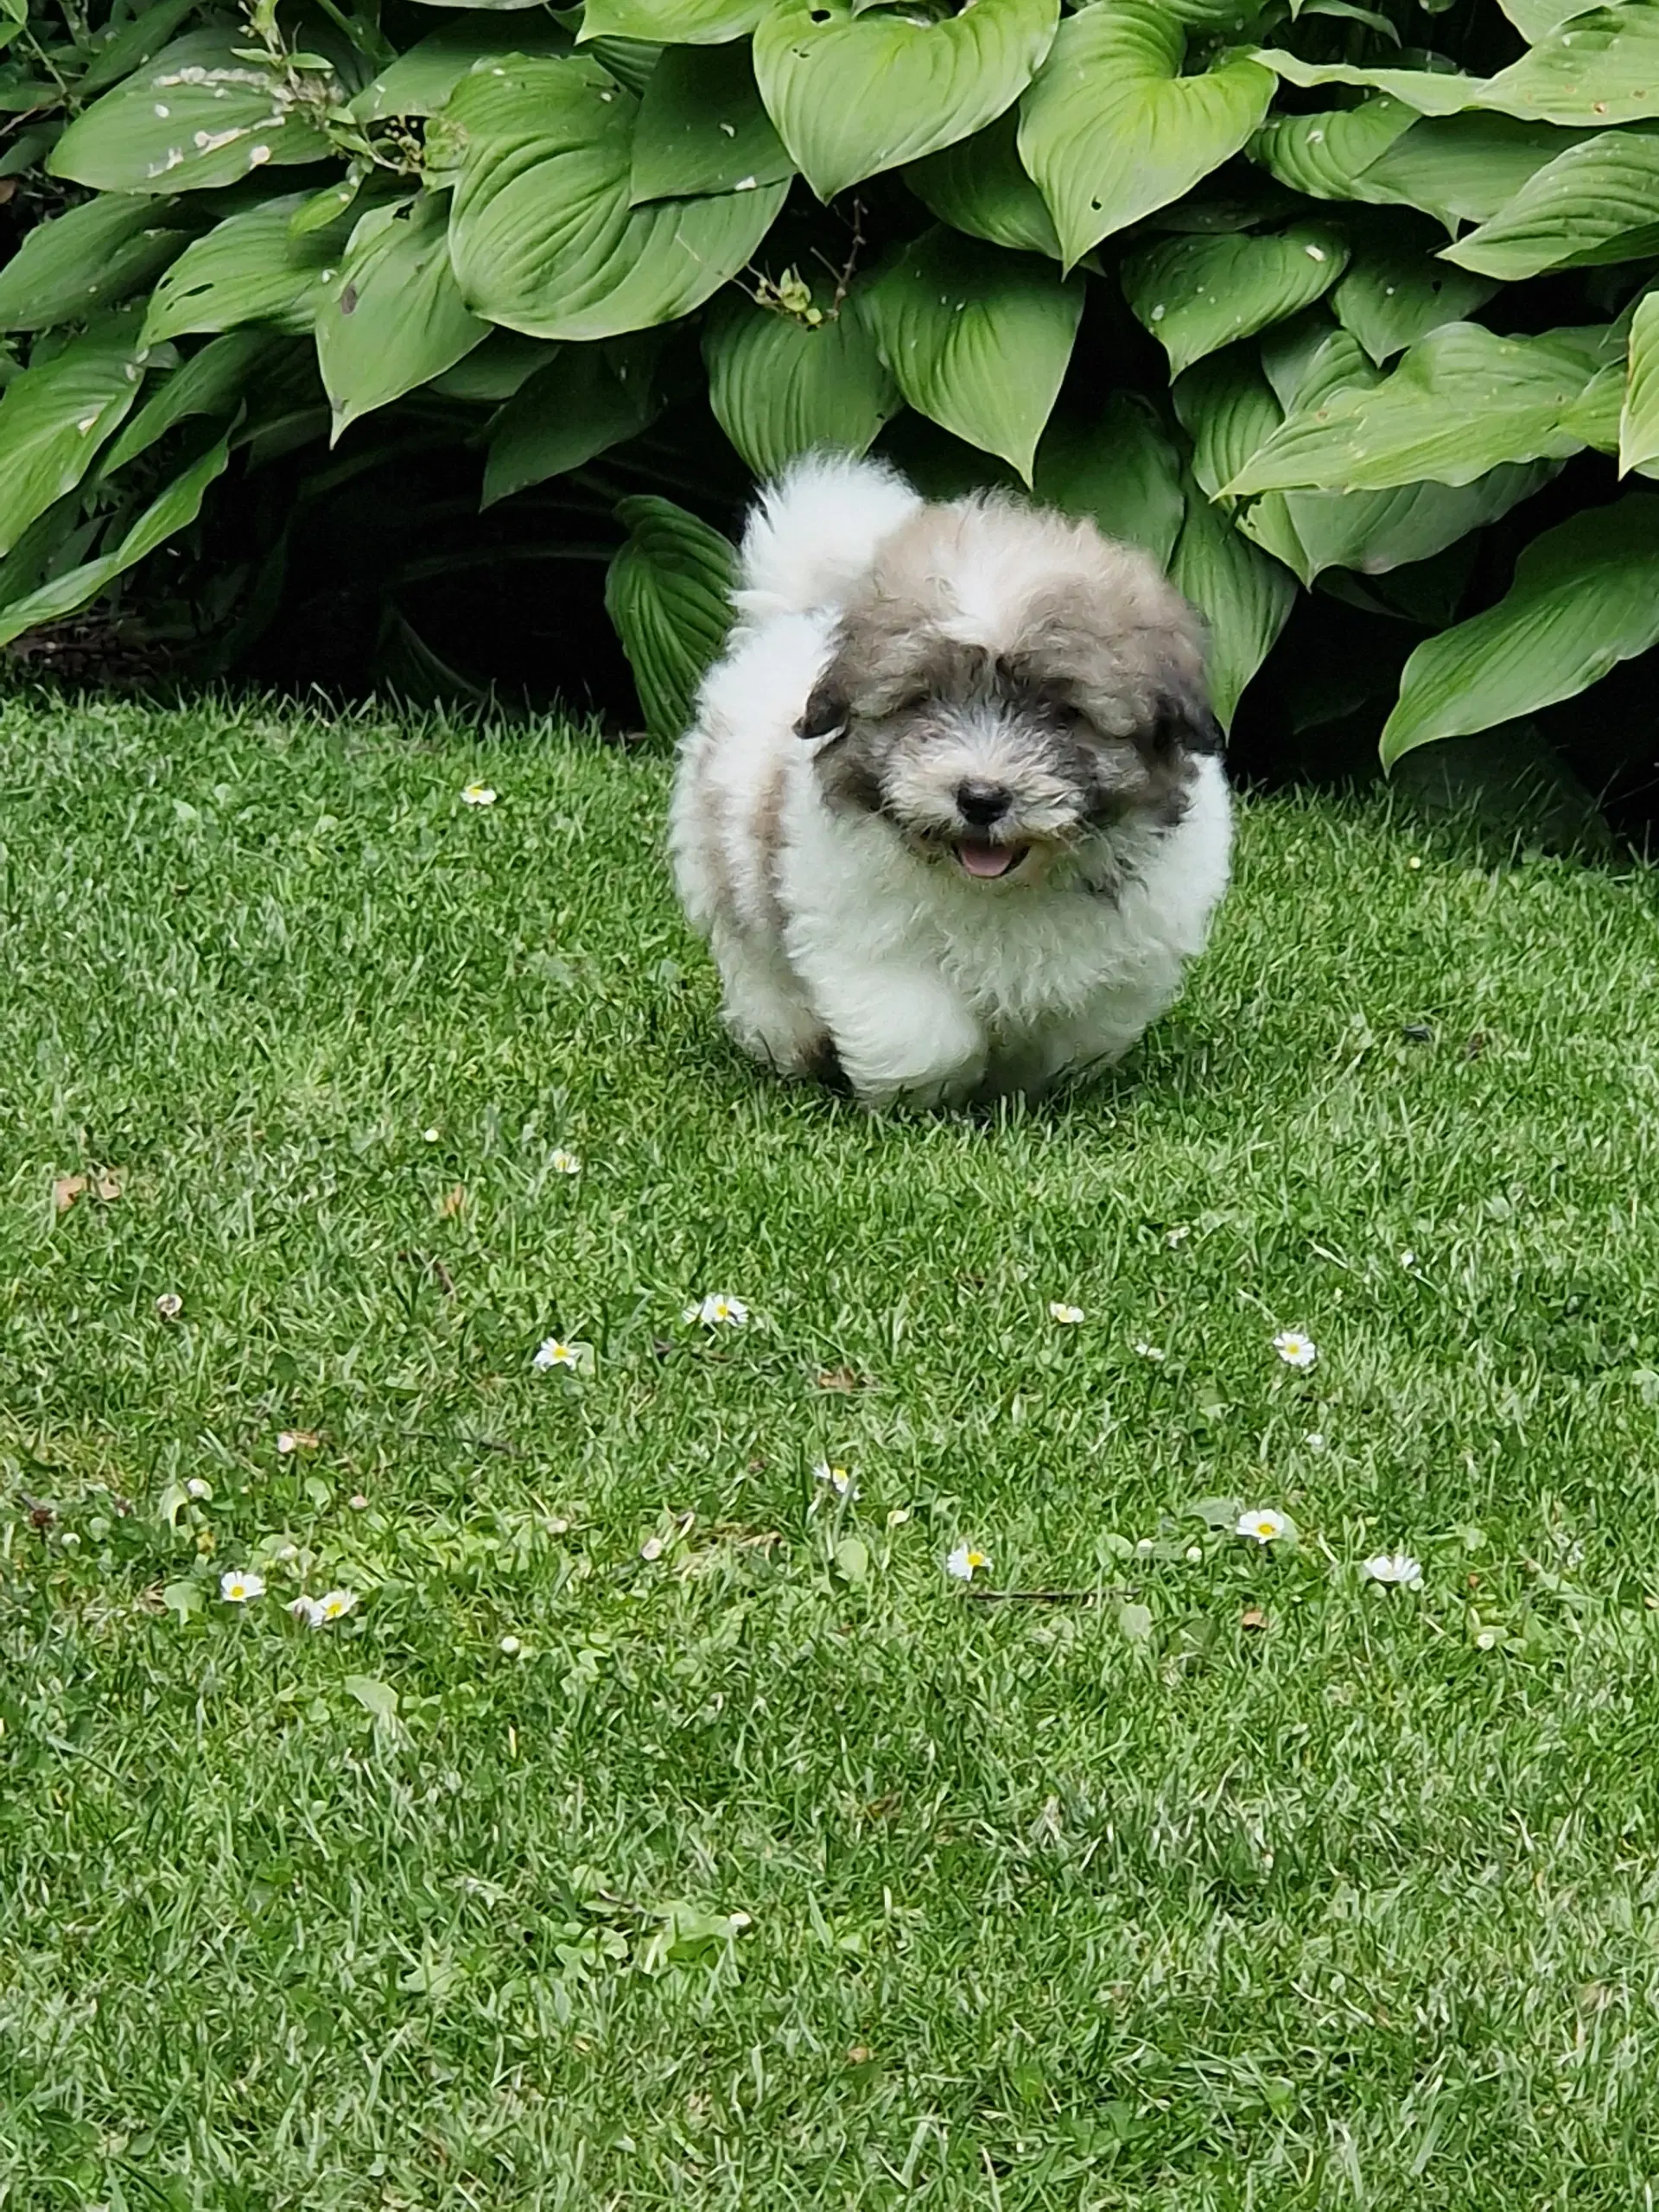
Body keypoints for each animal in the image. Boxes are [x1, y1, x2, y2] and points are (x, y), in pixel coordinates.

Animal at [672, 453, 1238, 1106]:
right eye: (922, 701)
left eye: (1063, 712)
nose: (981, 798)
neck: (1004, 890)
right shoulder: (863, 934)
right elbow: (923, 1033)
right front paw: (926, 1093)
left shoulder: (1127, 955)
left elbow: (1075, 1028)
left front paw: (1030, 1087)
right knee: (756, 959)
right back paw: (790, 1041)